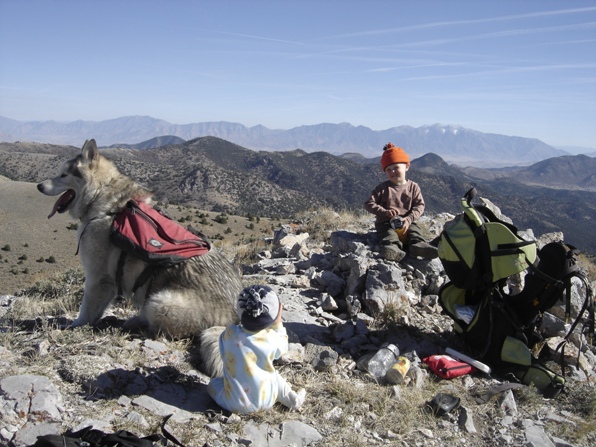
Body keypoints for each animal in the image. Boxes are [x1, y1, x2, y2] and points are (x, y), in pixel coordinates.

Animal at [35, 140, 237, 378]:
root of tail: (235, 319)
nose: (38, 186)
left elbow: (86, 311)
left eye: (64, 175)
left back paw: (137, 323)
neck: (103, 202)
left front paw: (74, 326)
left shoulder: (97, 278)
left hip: (159, 302)